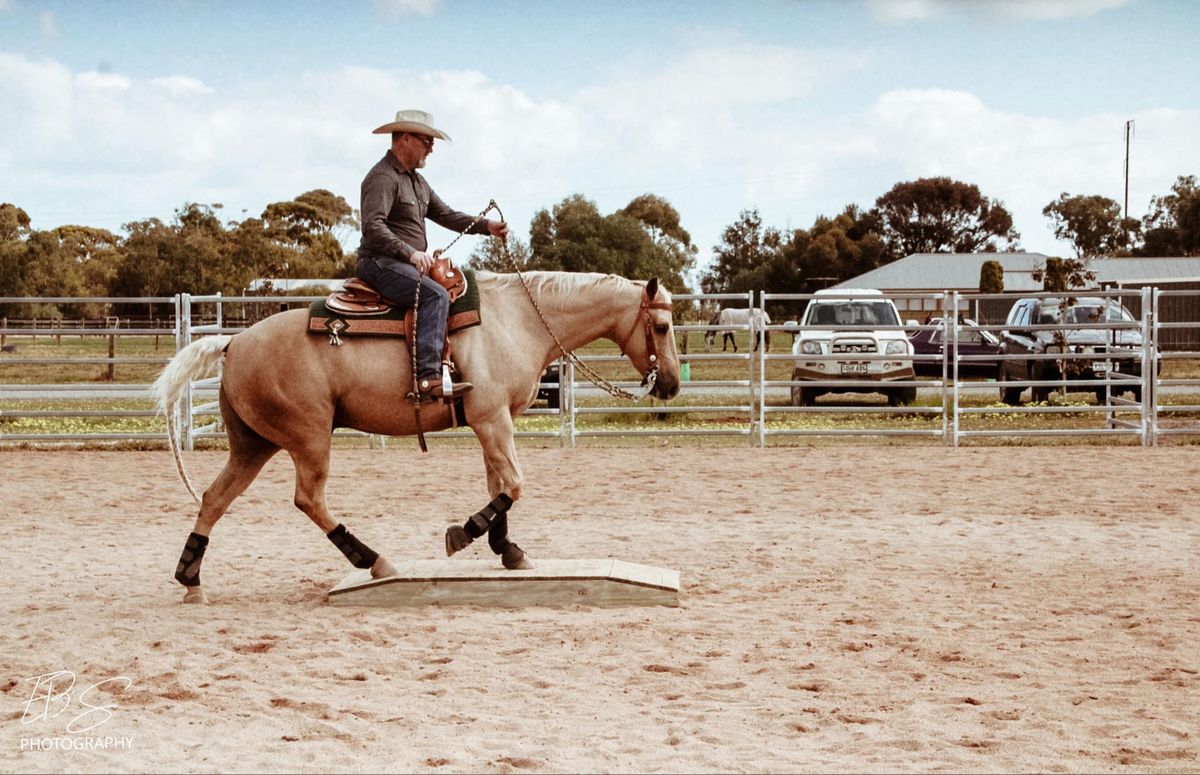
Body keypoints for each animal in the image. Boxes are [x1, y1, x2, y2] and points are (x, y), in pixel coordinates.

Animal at [154, 273, 681, 607]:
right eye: (661, 325)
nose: (672, 385)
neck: (517, 321)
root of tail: (234, 342)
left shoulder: (492, 424)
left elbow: (499, 486)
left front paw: (509, 551)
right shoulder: (493, 421)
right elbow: (514, 485)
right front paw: (463, 533)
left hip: (254, 445)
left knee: (214, 497)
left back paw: (190, 579)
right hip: (308, 437)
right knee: (309, 498)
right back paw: (374, 560)